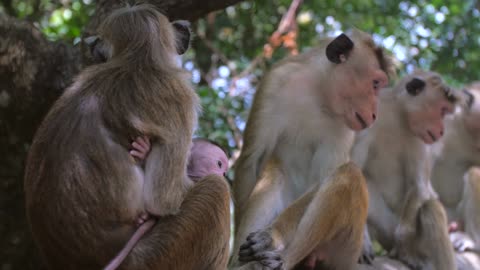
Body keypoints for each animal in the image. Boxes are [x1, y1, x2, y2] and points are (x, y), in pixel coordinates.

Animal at [106, 137, 230, 270]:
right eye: (219, 164)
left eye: (224, 172)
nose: (223, 175)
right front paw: (145, 153)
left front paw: (146, 153)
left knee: (216, 184)